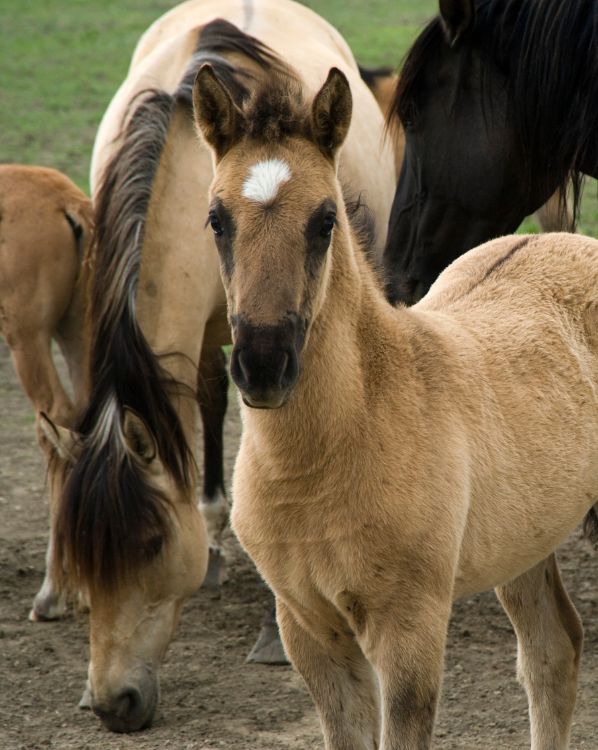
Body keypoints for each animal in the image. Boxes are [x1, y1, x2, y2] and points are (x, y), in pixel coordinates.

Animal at [193, 60, 598, 750]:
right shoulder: (310, 630)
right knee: (553, 653)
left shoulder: (409, 627)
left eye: (325, 220)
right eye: (217, 219)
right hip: (526, 540)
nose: (263, 365)